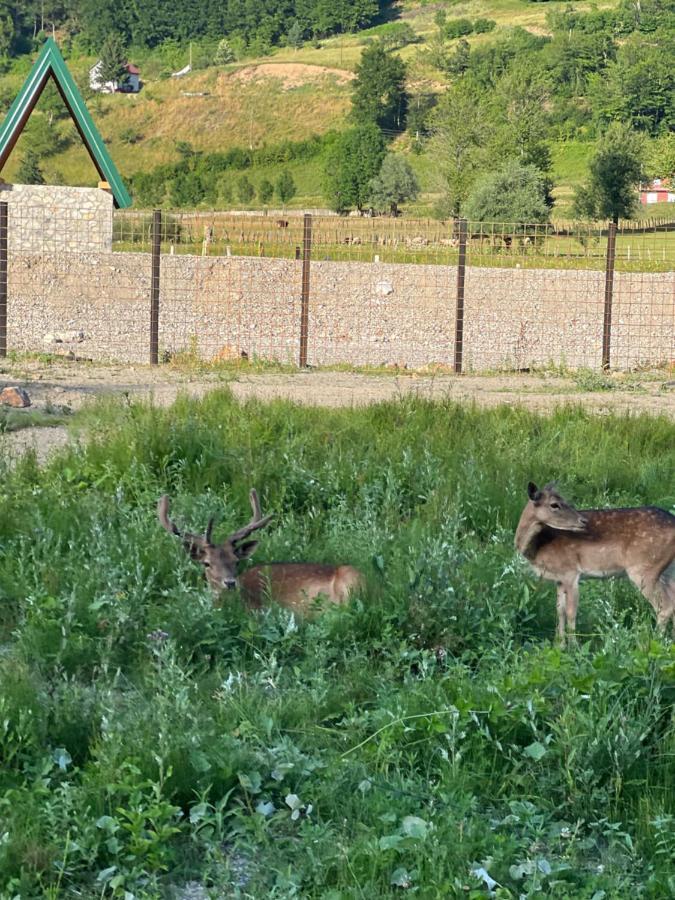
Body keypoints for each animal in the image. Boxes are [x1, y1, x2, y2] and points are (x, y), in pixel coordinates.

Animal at [516, 482, 675, 644]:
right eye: (554, 504)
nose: (583, 520)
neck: (538, 546)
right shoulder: (559, 579)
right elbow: (559, 611)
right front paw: (559, 644)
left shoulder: (570, 572)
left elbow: (571, 612)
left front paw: (574, 646)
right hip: (666, 571)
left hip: (644, 568)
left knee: (665, 606)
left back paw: (654, 641)